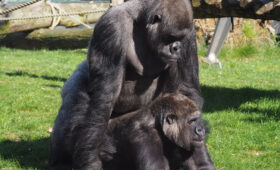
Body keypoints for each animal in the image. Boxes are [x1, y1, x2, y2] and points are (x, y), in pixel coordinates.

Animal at [49, 0, 207, 169]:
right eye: (171, 37)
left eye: (180, 38)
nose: (176, 47)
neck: (142, 23)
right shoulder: (112, 27)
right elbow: (105, 96)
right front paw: (90, 160)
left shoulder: (189, 34)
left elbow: (185, 87)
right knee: (76, 105)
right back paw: (61, 159)